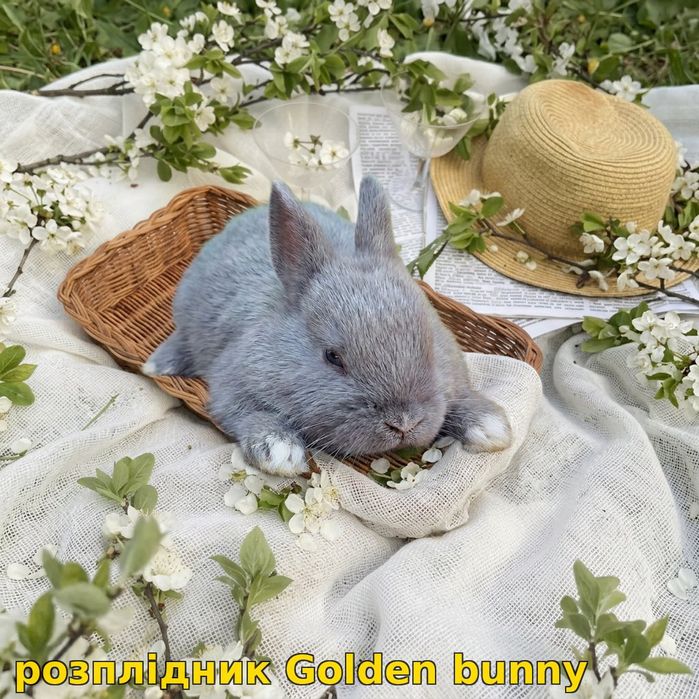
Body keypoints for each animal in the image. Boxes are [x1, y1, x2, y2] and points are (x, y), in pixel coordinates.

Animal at [143, 177, 512, 476]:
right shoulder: (230, 385)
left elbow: (462, 399)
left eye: (430, 345)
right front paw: (280, 453)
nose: (403, 423)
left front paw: (493, 429)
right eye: (332, 357)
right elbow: (249, 413)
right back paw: (157, 365)